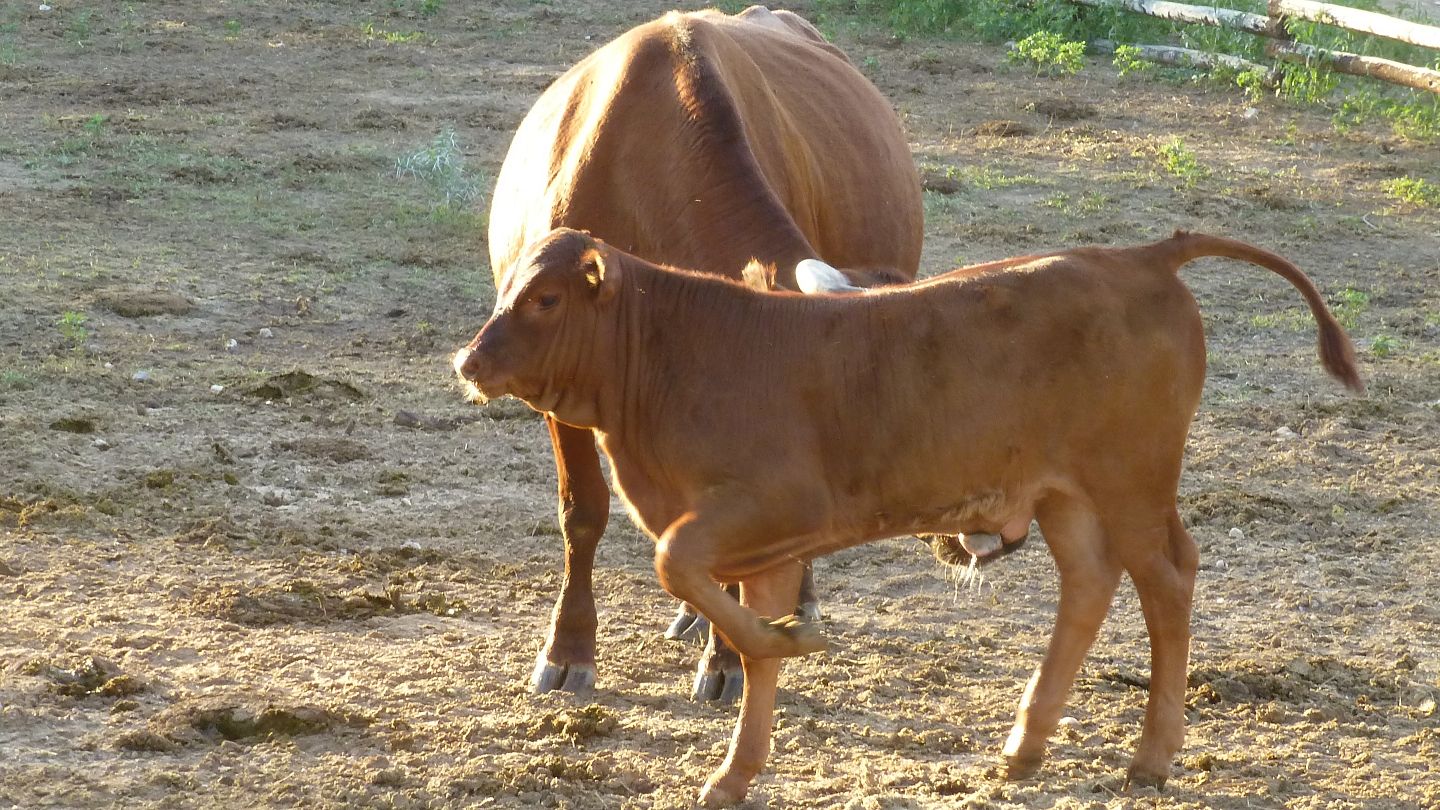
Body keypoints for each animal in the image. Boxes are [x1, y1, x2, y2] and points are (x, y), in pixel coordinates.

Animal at [457, 227, 1359, 807]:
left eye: (545, 298)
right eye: (506, 289)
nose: (468, 360)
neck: (678, 351)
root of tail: (1140, 257)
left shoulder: (771, 505)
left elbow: (676, 563)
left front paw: (796, 643)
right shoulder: (766, 545)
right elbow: (750, 645)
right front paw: (738, 766)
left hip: (1130, 484)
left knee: (1166, 583)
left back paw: (1150, 758)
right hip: (1066, 496)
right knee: (1090, 583)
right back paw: (1025, 746)